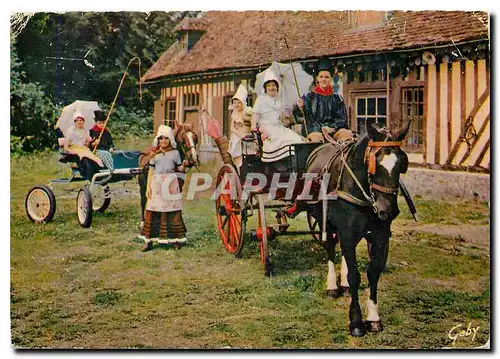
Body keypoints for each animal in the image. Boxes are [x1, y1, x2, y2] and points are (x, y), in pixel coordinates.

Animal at [304, 120, 410, 338]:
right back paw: (333, 286)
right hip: (324, 221)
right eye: (374, 163)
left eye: (402, 164)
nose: (388, 210)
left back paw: (342, 285)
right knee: (330, 249)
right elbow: (354, 276)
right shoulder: (346, 231)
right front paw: (356, 322)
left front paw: (374, 318)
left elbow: (373, 273)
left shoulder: (380, 237)